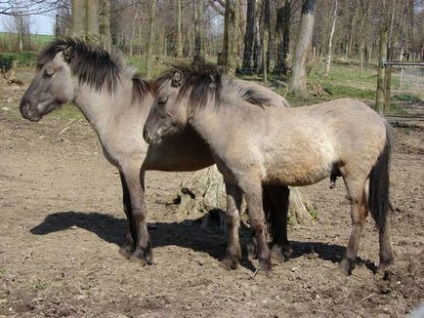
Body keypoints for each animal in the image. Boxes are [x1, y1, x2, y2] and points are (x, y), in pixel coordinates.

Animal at [19, 36, 292, 266]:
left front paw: (141, 253)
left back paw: (277, 250)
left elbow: (139, 207)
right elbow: (127, 205)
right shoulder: (122, 169)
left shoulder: (133, 168)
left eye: (48, 73)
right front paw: (128, 247)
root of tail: (279, 101)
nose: (25, 108)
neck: (118, 109)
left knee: (279, 202)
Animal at [143, 62, 394, 276]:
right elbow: (233, 217)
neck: (235, 123)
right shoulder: (231, 181)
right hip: (367, 179)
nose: (146, 134)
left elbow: (257, 219)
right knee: (379, 212)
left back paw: (346, 264)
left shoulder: (251, 181)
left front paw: (263, 264)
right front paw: (230, 260)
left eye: (162, 100)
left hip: (354, 176)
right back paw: (384, 263)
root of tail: (378, 118)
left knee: (359, 214)